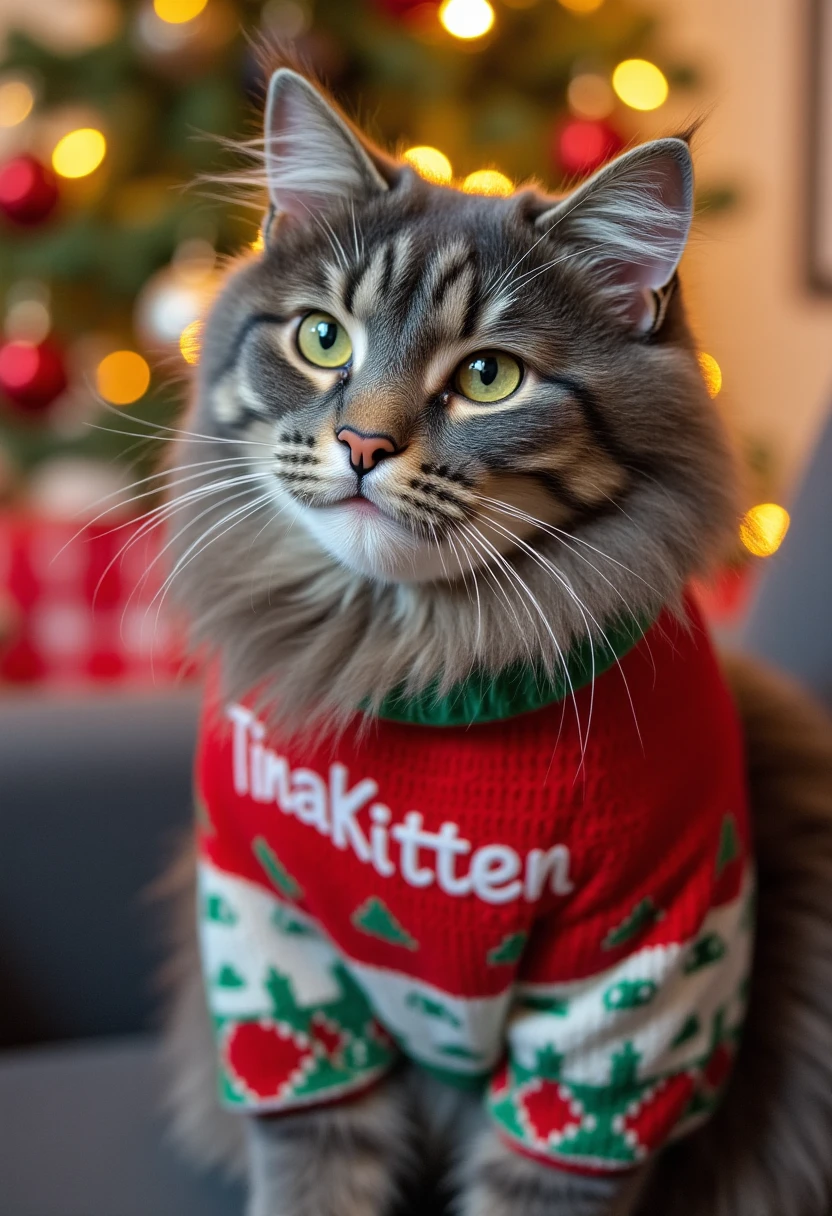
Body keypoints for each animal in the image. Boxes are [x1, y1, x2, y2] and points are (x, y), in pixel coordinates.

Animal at [159, 64, 832, 1216]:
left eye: (488, 378)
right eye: (322, 338)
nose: (361, 443)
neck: (410, 655)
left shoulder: (635, 982)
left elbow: (545, 1168)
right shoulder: (272, 948)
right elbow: (310, 1166)